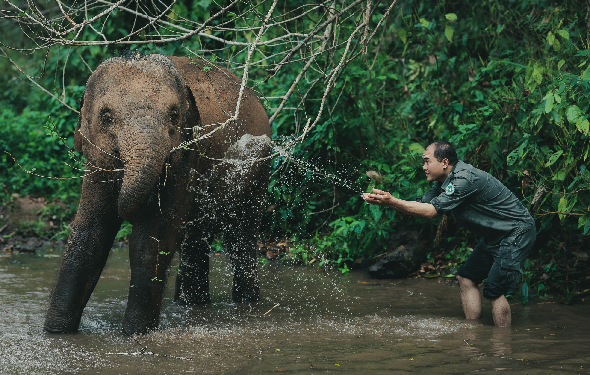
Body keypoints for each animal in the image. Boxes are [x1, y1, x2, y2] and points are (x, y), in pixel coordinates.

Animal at [44, 53, 272, 334]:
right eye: (106, 117)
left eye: (174, 115)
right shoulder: (97, 161)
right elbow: (91, 231)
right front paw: (55, 332)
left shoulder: (185, 157)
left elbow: (153, 237)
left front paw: (134, 332)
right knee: (196, 236)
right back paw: (191, 304)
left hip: (258, 168)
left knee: (242, 233)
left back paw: (245, 303)